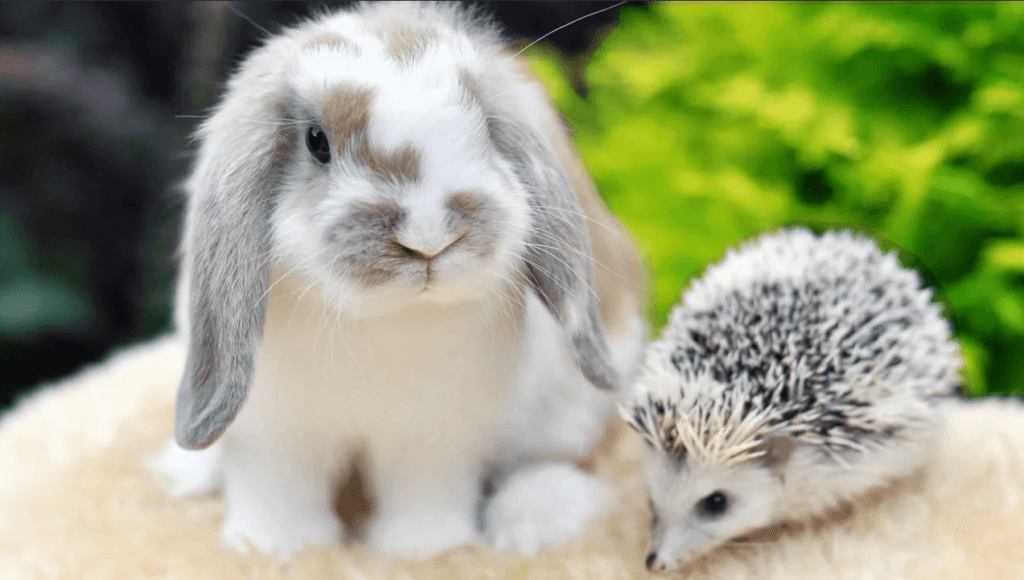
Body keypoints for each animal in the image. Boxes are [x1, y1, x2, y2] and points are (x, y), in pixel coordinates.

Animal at [149, 1, 647, 561]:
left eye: (484, 128)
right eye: (317, 142)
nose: (428, 236)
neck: (384, 320)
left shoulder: (434, 430)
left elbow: (422, 486)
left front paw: (422, 550)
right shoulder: (275, 429)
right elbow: (278, 485)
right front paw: (275, 548)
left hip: (569, 408)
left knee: (551, 459)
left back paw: (535, 521)